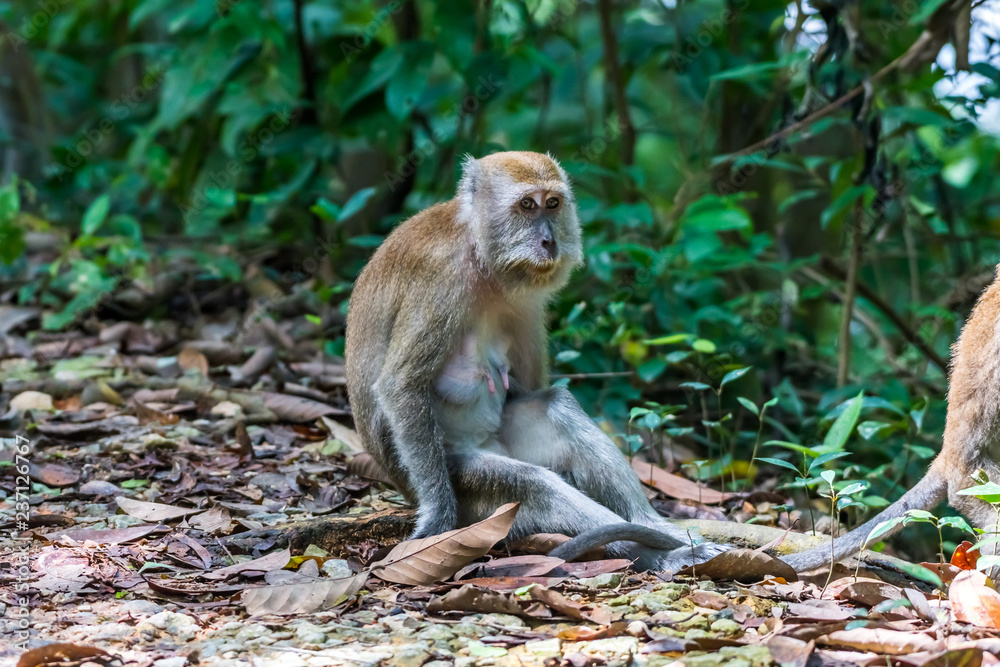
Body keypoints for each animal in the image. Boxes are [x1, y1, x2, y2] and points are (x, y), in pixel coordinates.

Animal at [346, 151, 728, 568]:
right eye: (527, 205)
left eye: (553, 204)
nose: (549, 240)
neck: (479, 253)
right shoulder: (440, 279)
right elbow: (401, 385)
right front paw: (437, 518)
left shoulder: (527, 301)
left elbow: (529, 388)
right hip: (471, 492)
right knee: (534, 484)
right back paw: (659, 553)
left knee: (557, 406)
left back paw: (653, 527)